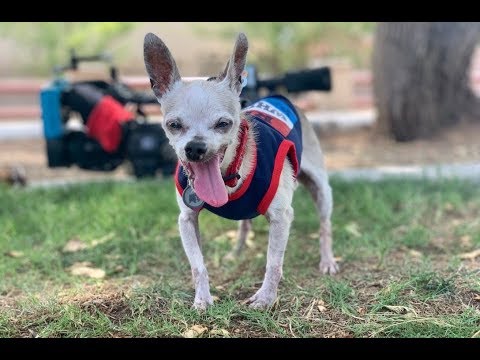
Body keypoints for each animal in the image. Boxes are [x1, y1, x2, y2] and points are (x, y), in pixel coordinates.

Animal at [142, 32, 338, 310]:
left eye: (223, 124)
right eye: (174, 125)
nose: (195, 147)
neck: (227, 175)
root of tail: (280, 98)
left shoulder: (281, 217)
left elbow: (273, 263)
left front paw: (266, 298)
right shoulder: (187, 220)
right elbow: (198, 265)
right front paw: (202, 299)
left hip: (320, 189)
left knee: (324, 225)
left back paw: (328, 260)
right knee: (245, 223)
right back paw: (236, 252)